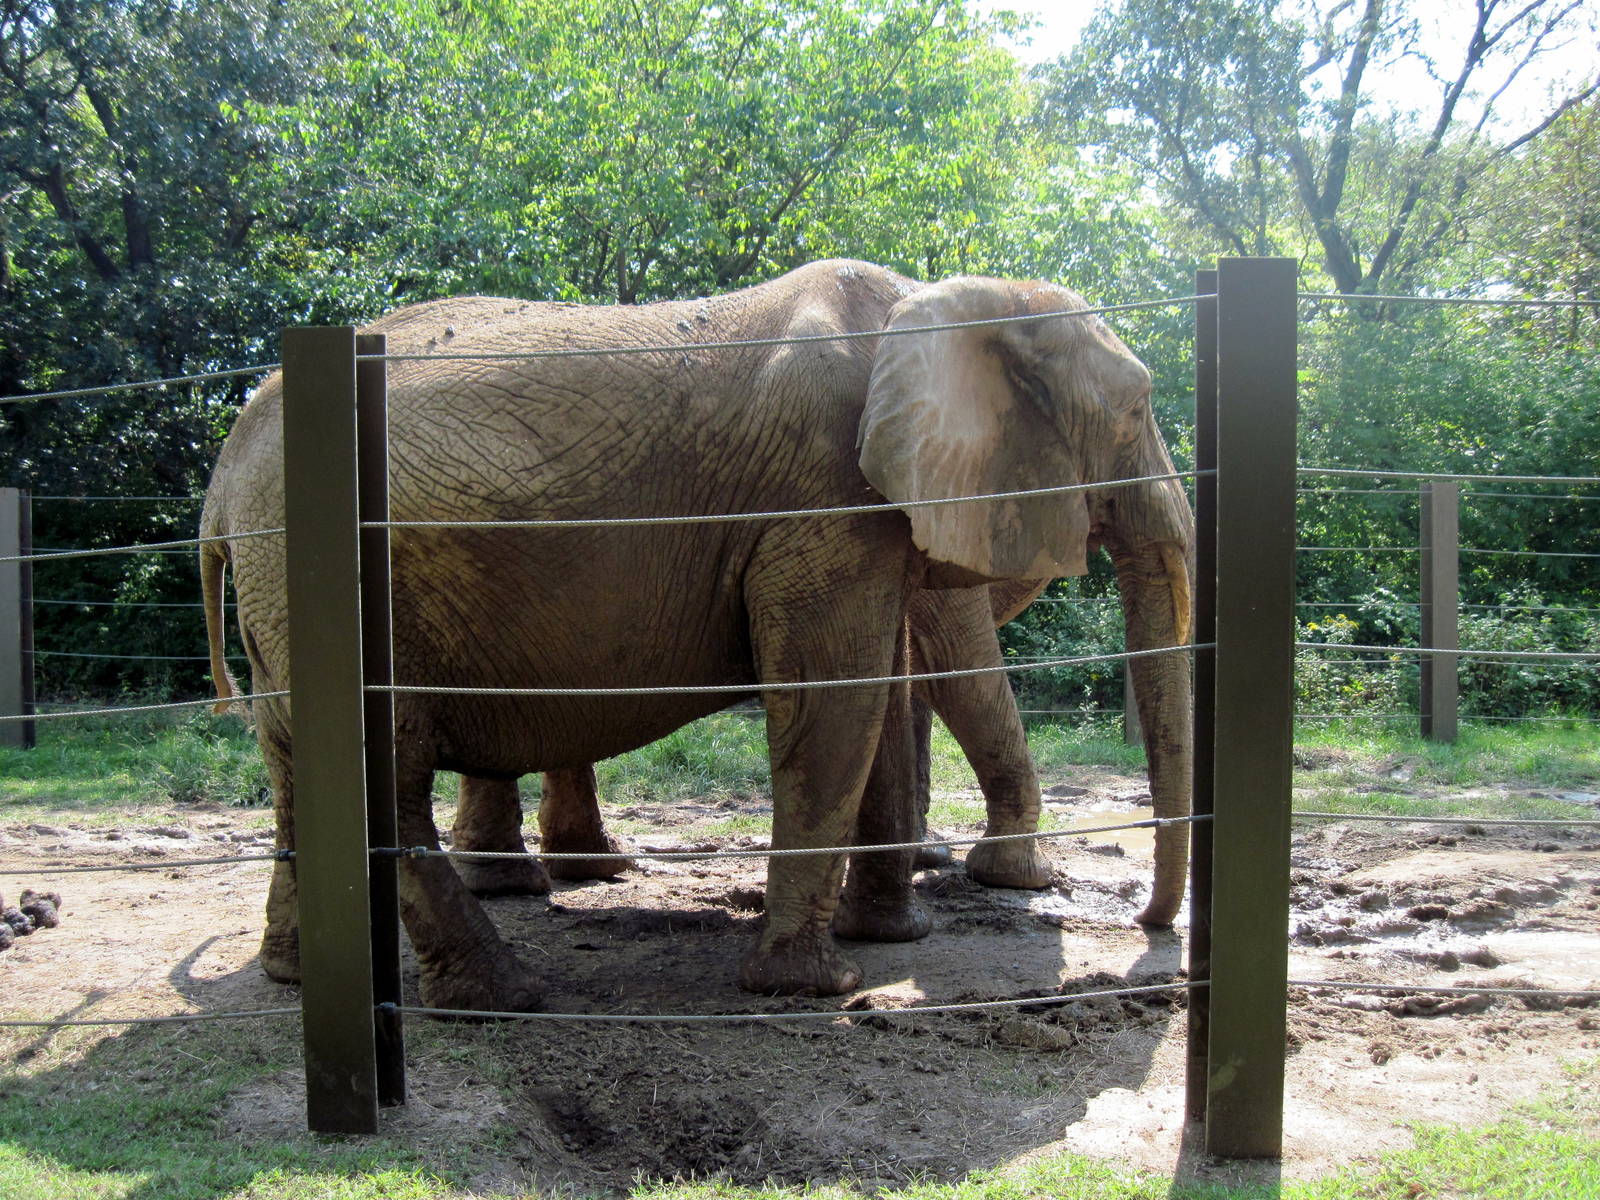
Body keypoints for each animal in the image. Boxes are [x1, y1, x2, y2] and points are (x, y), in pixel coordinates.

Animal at [201, 259, 1193, 1011]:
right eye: (1138, 407)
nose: (1148, 928)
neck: (933, 296)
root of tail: (224, 470)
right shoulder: (821, 502)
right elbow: (836, 702)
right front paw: (817, 987)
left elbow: (873, 691)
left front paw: (889, 939)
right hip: (321, 570)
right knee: (381, 767)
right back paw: (507, 993)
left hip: (279, 589)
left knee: (298, 767)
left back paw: (301, 977)